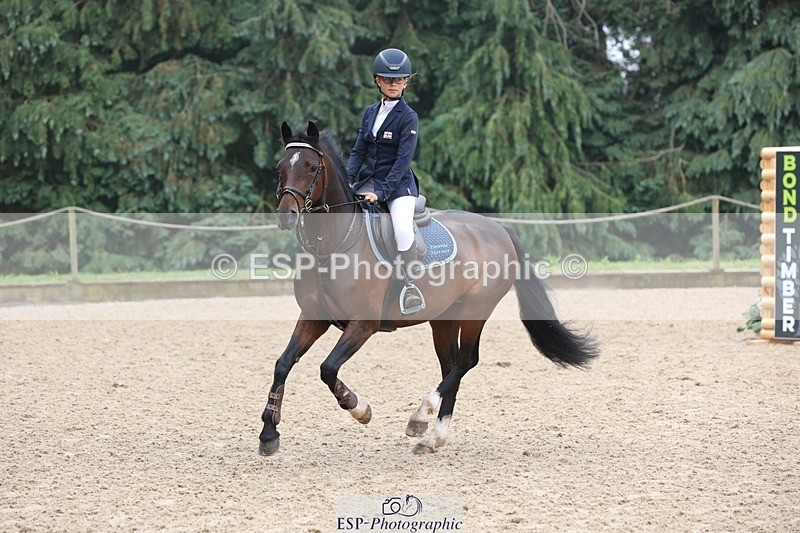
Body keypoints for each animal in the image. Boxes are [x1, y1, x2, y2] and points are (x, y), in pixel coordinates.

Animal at [259, 120, 599, 455]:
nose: (286, 215)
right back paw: (432, 436)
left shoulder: (364, 324)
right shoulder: (313, 317)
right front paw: (268, 433)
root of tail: (498, 229)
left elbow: (328, 368)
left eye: (312, 167)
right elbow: (283, 363)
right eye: (280, 167)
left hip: (476, 309)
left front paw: (359, 408)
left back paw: (421, 417)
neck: (332, 245)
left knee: (465, 362)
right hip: (445, 317)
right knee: (450, 365)